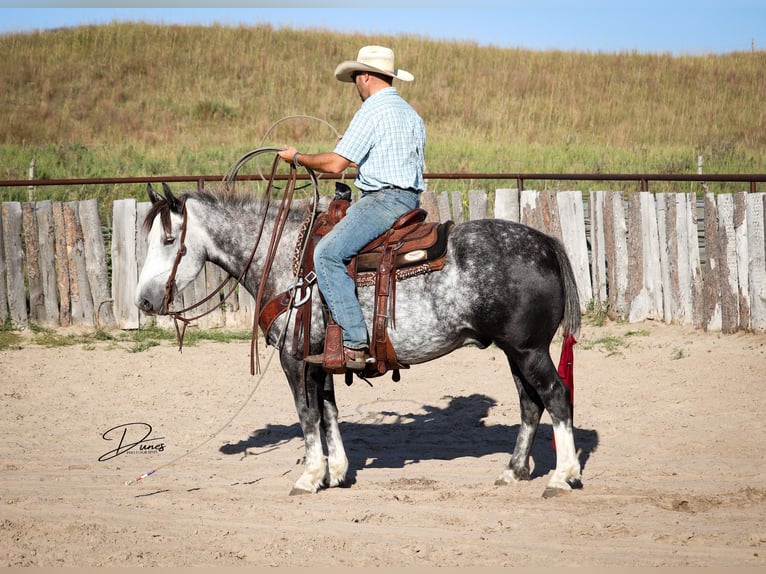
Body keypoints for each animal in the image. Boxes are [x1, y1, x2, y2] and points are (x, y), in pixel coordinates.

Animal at [134, 174, 583, 497]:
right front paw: (335, 472)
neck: (286, 258)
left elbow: (307, 414)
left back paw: (562, 477)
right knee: (530, 404)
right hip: (515, 351)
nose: (143, 300)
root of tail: (546, 243)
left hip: (529, 350)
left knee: (556, 396)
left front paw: (309, 476)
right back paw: (514, 471)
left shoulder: (294, 358)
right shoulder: (321, 358)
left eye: (169, 240)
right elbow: (329, 411)